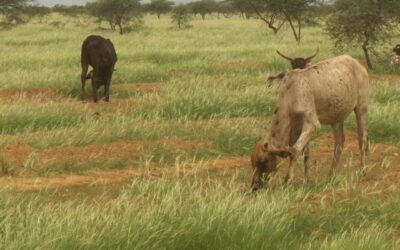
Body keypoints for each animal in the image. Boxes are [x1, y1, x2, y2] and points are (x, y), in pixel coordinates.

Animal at [252, 55, 370, 191]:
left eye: (264, 161)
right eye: (253, 162)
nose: (254, 187)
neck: (290, 95)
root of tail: (356, 63)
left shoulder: (312, 123)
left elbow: (295, 150)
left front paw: (287, 181)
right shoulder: (298, 127)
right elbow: (305, 153)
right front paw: (306, 179)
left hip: (361, 106)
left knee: (362, 138)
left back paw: (362, 171)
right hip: (336, 117)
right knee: (339, 142)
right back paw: (331, 174)